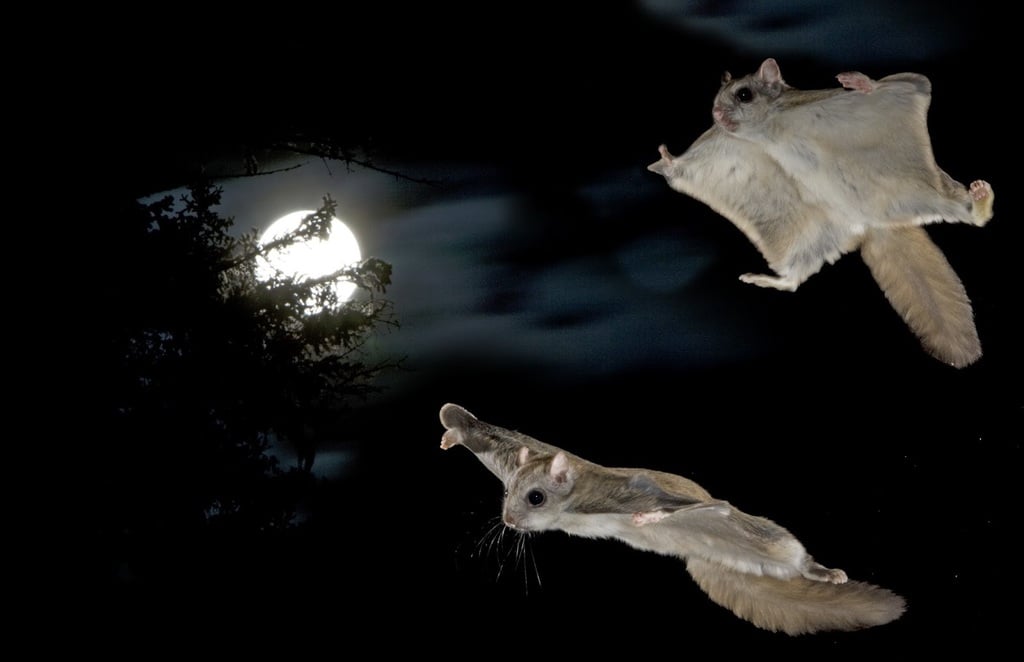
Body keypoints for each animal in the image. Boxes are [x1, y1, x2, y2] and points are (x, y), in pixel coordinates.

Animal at [439, 402, 906, 636]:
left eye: (535, 498)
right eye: (506, 492)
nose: (509, 521)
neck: (574, 504)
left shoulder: (625, 494)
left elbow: (697, 504)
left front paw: (650, 518)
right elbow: (484, 436)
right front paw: (456, 428)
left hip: (767, 539)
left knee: (791, 553)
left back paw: (826, 573)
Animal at [648, 58, 994, 368]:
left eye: (744, 94)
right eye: (716, 98)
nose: (716, 114)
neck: (767, 131)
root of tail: (873, 223)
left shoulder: (894, 90)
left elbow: (916, 83)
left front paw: (862, 83)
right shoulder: (719, 145)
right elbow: (682, 168)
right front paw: (668, 160)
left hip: (922, 191)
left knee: (964, 213)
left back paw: (978, 202)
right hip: (814, 238)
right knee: (793, 280)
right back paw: (766, 279)